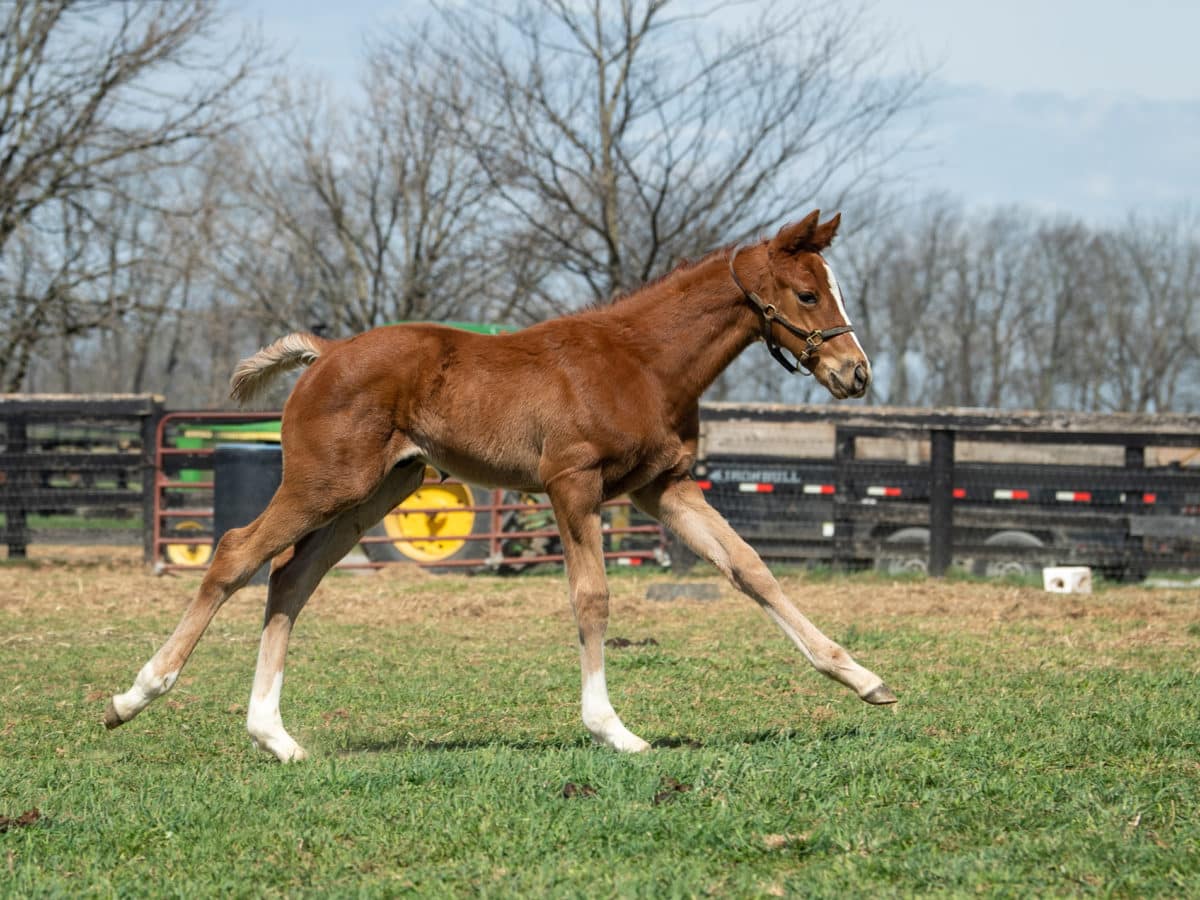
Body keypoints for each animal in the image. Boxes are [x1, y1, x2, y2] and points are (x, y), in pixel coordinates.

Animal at [105, 211, 892, 763]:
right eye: (807, 293)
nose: (856, 373)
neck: (641, 360)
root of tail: (325, 354)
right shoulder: (571, 483)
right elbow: (592, 597)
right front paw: (613, 730)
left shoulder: (663, 487)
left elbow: (750, 569)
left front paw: (862, 679)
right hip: (325, 483)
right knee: (236, 554)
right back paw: (135, 695)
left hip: (378, 492)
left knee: (290, 579)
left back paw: (276, 737)